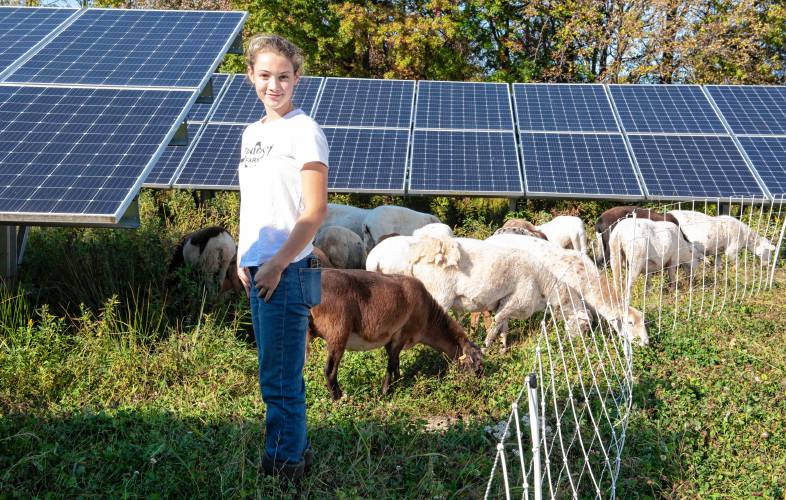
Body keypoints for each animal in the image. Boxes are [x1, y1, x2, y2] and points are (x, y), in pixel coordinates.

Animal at [308, 268, 480, 400]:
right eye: (476, 363)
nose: (478, 384)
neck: (429, 319)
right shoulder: (401, 335)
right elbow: (391, 364)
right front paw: (386, 392)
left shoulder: (390, 339)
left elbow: (395, 363)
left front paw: (399, 384)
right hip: (338, 332)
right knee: (330, 370)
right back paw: (338, 399)